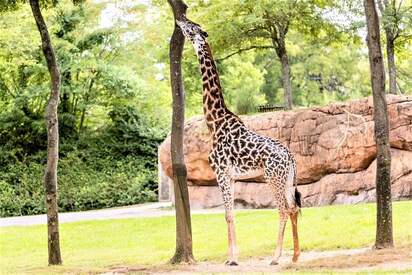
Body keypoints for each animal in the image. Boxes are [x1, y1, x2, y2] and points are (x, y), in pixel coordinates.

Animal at [175, 16, 300, 266]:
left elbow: (228, 214)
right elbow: (230, 213)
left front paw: (232, 259)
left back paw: (276, 257)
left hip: (273, 178)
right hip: (288, 180)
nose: (180, 18)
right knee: (294, 209)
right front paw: (233, 256)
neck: (214, 121)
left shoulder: (221, 172)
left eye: (191, 28)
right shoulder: (231, 177)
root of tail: (290, 157)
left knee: (284, 210)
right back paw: (295, 256)